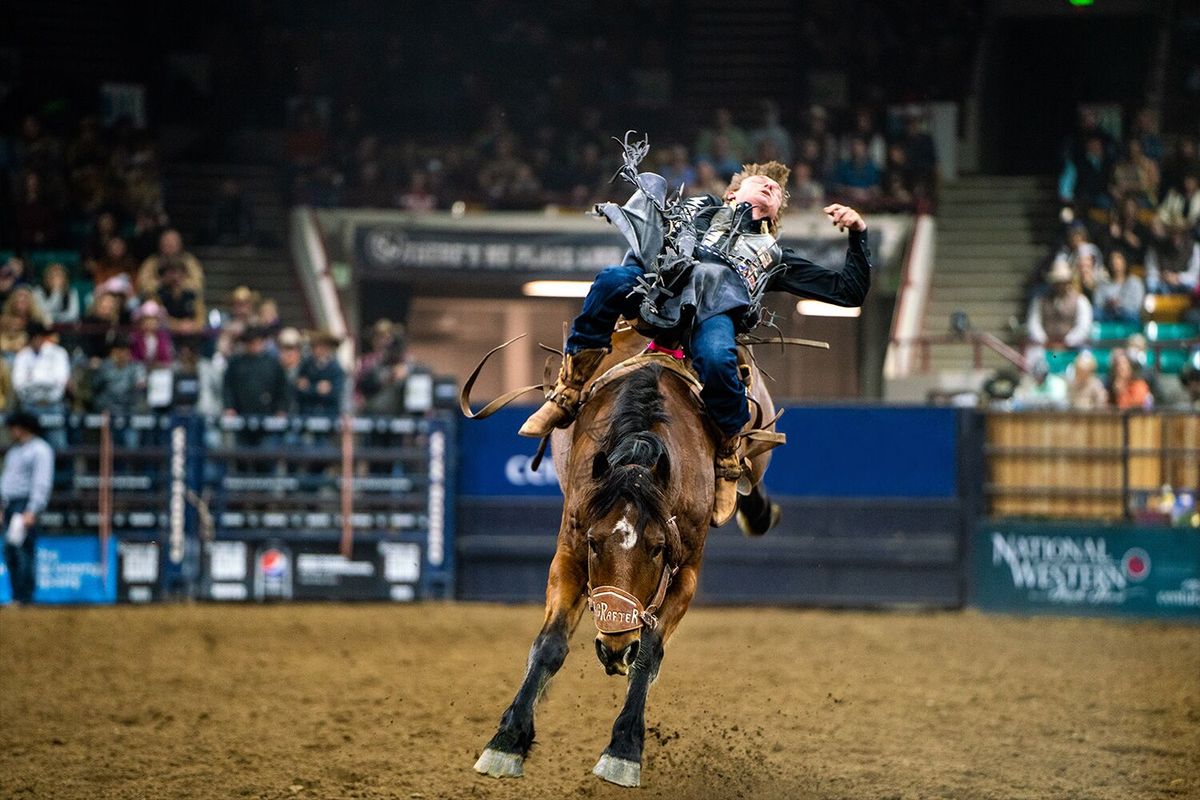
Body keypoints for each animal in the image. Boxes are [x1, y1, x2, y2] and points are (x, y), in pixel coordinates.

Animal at [470, 331, 777, 786]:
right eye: (595, 543)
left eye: (657, 547)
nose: (615, 647)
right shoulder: (570, 553)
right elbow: (549, 645)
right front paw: (506, 741)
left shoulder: (685, 573)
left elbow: (648, 654)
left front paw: (623, 750)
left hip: (759, 440)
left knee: (750, 471)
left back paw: (753, 506)